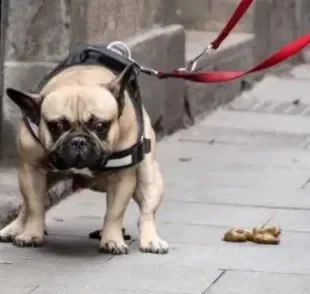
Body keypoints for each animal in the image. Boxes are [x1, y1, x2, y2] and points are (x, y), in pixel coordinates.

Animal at [0, 48, 168, 255]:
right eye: (57, 126)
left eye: (100, 126)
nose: (78, 141)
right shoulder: (31, 170)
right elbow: (34, 206)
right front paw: (31, 234)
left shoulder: (122, 179)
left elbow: (114, 213)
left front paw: (112, 240)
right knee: (27, 206)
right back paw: (13, 228)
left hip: (149, 176)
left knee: (146, 212)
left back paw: (151, 241)